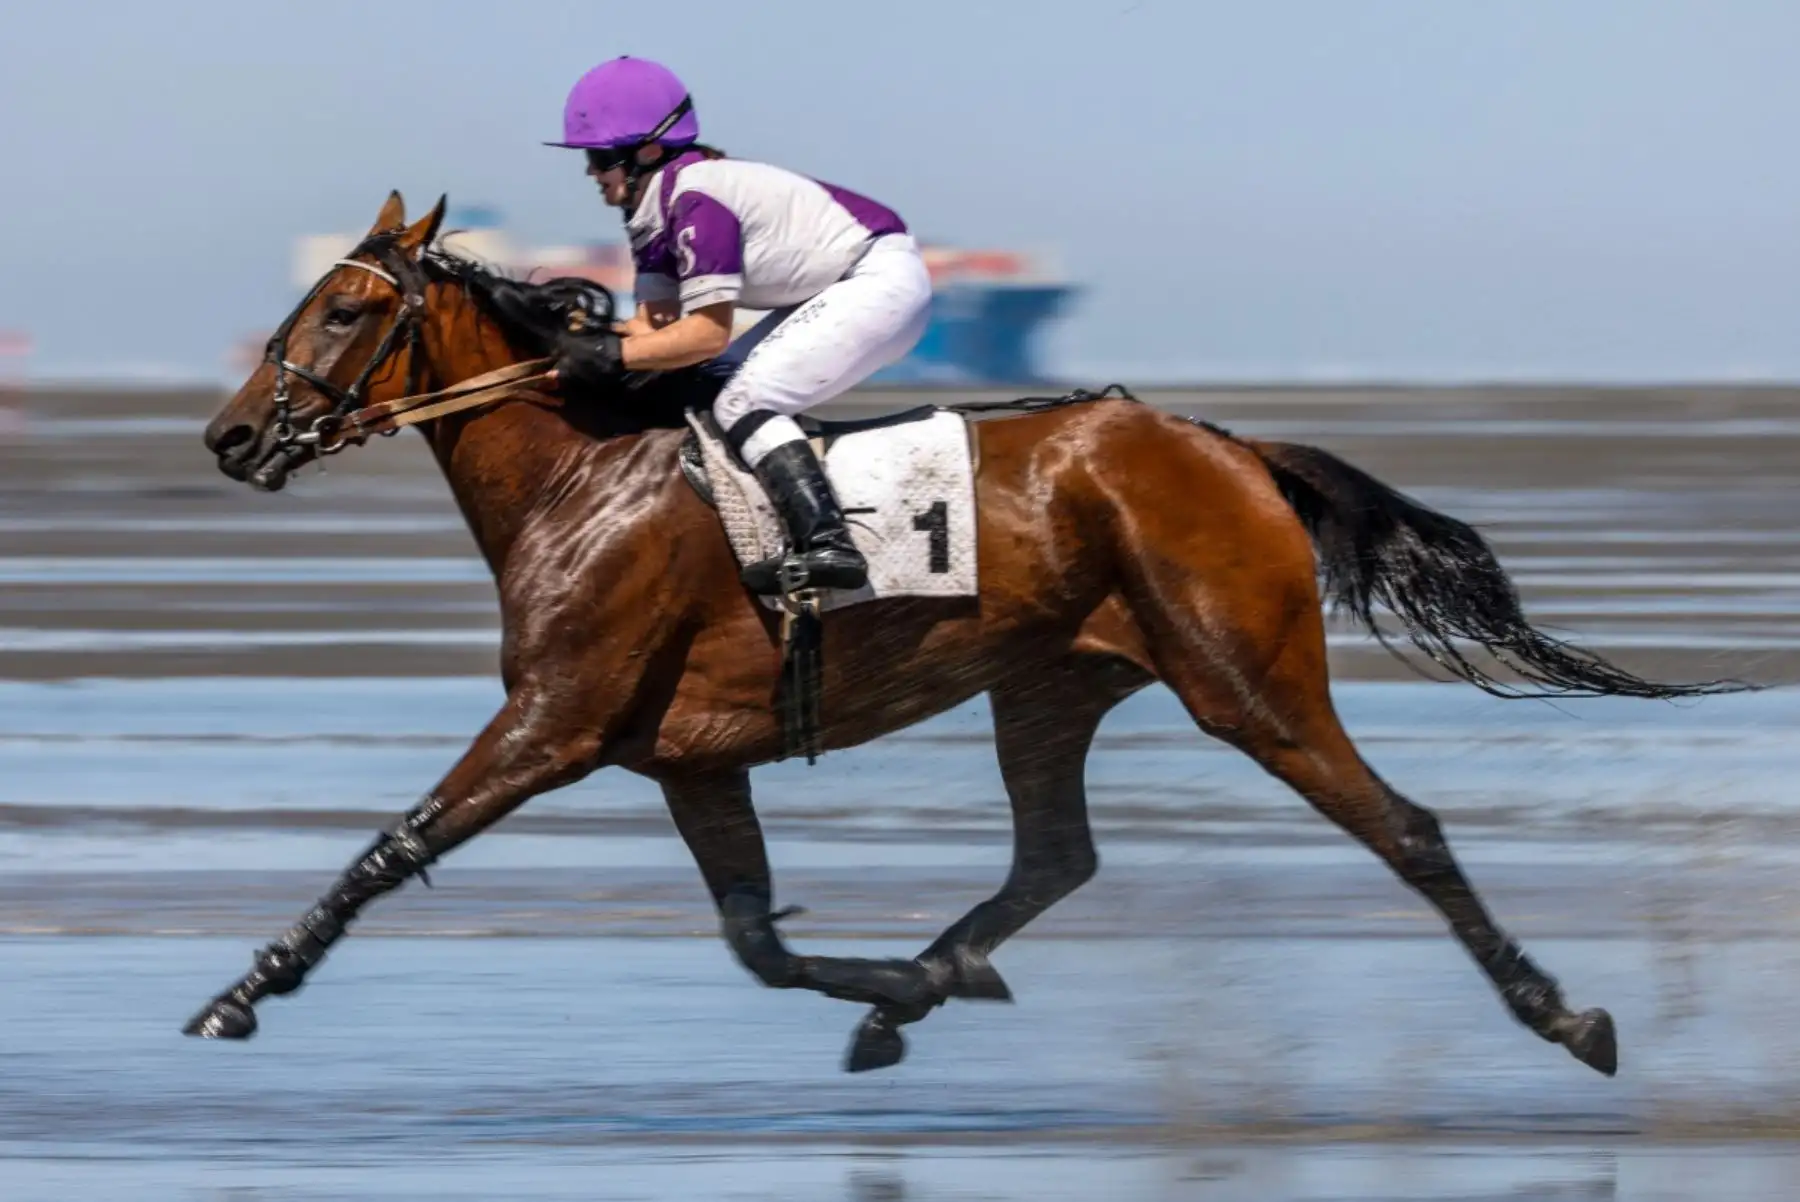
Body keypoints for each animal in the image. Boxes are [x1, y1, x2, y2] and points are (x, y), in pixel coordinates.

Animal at [187, 191, 1747, 1077]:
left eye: (344, 307)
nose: (230, 435)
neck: (589, 478)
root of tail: (1229, 446)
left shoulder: (554, 721)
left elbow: (391, 846)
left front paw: (241, 993)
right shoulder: (690, 754)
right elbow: (756, 938)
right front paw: (894, 984)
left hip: (1245, 678)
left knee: (1406, 828)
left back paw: (1568, 1016)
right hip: (1048, 686)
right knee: (1057, 854)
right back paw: (926, 982)